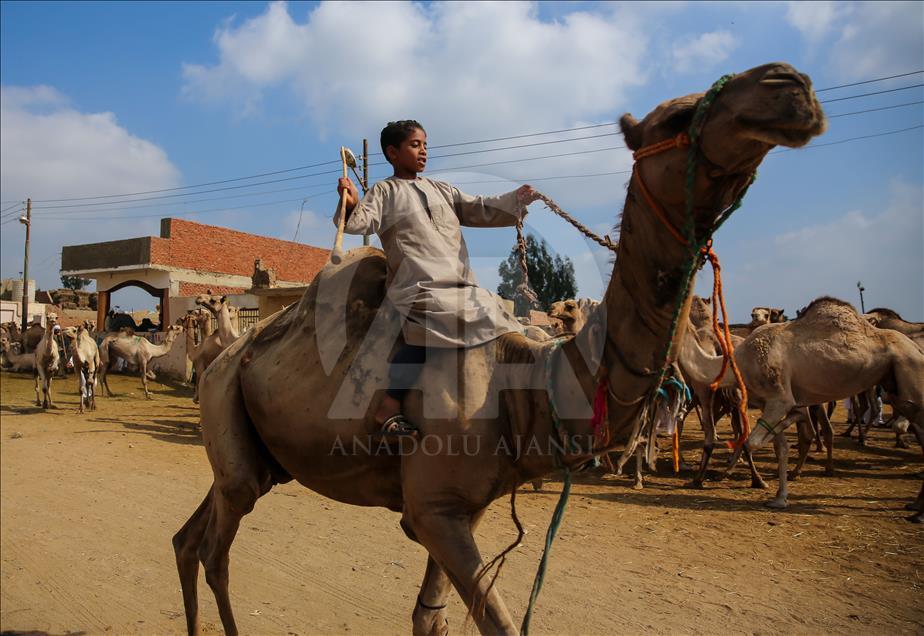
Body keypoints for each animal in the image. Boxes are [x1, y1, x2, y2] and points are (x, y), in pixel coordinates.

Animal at [177, 60, 828, 636]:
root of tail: (231, 355)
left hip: (261, 453)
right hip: (226, 406)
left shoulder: (465, 507)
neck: (530, 387)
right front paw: (347, 195)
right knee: (215, 549)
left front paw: (522, 195)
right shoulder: (432, 509)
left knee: (189, 538)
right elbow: (497, 623)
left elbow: (429, 618)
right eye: (677, 116)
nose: (790, 84)